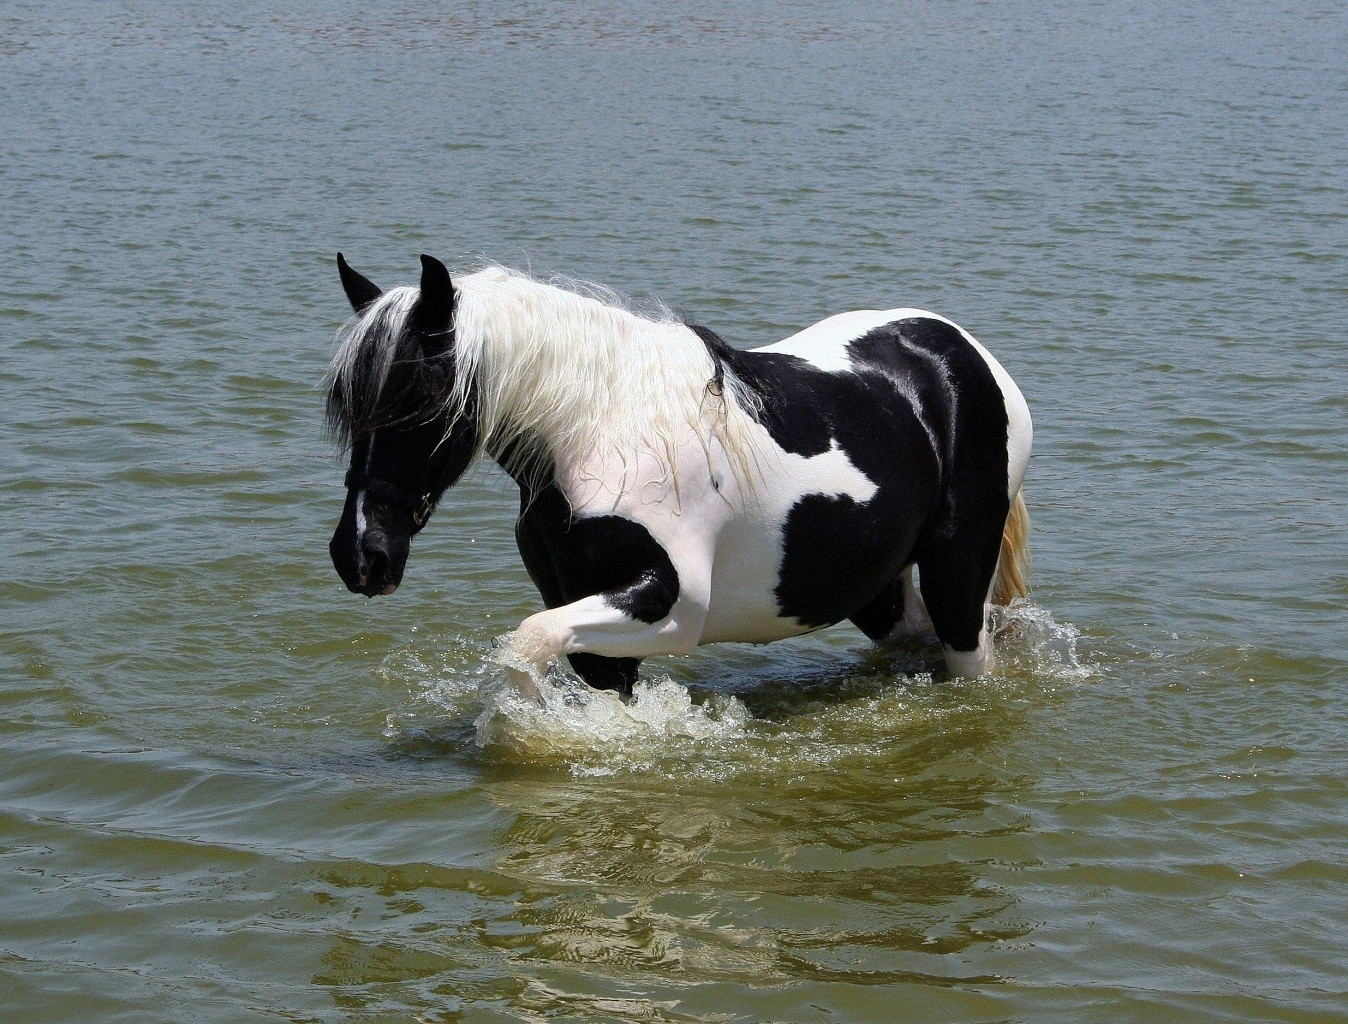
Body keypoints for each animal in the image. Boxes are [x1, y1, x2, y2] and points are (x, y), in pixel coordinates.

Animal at [323, 253, 1029, 700]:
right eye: (348, 407)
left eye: (420, 398)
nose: (360, 557)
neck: (601, 430)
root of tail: (961, 352)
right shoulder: (589, 615)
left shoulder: (671, 605)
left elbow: (526, 644)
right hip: (873, 588)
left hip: (958, 579)